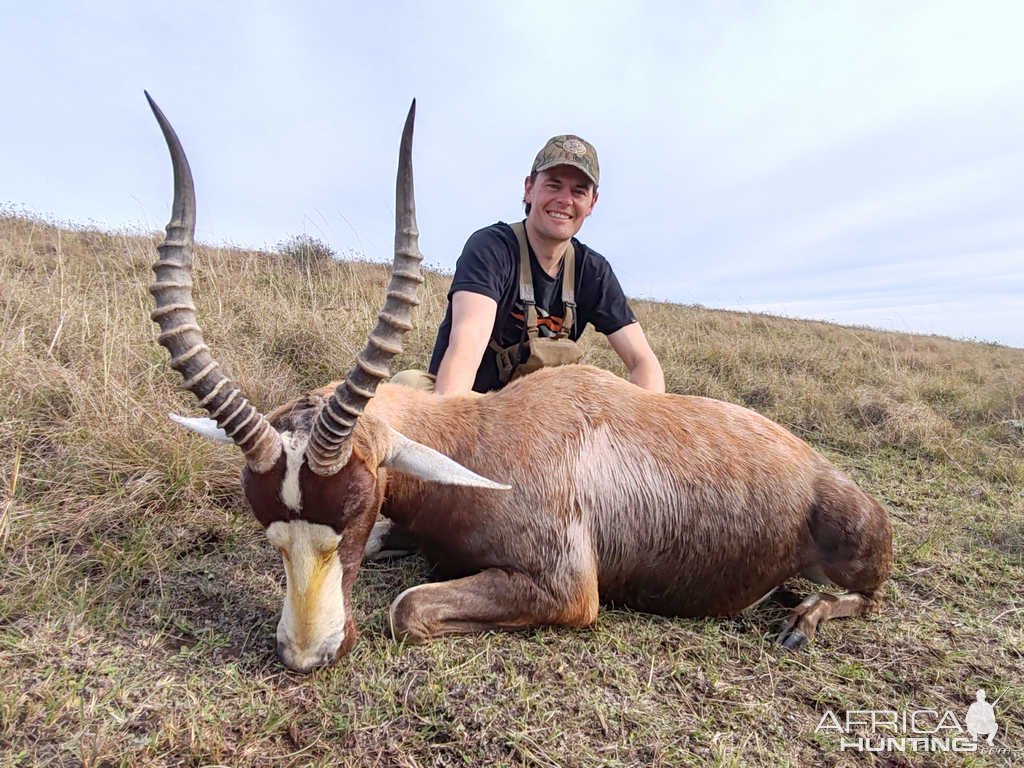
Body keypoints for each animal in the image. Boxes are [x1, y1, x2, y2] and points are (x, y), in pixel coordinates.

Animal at [148, 94, 892, 671]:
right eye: (269, 528)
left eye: (351, 511)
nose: (308, 655)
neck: (479, 438)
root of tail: (823, 471)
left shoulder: (566, 592)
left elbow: (405, 607)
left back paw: (802, 617)